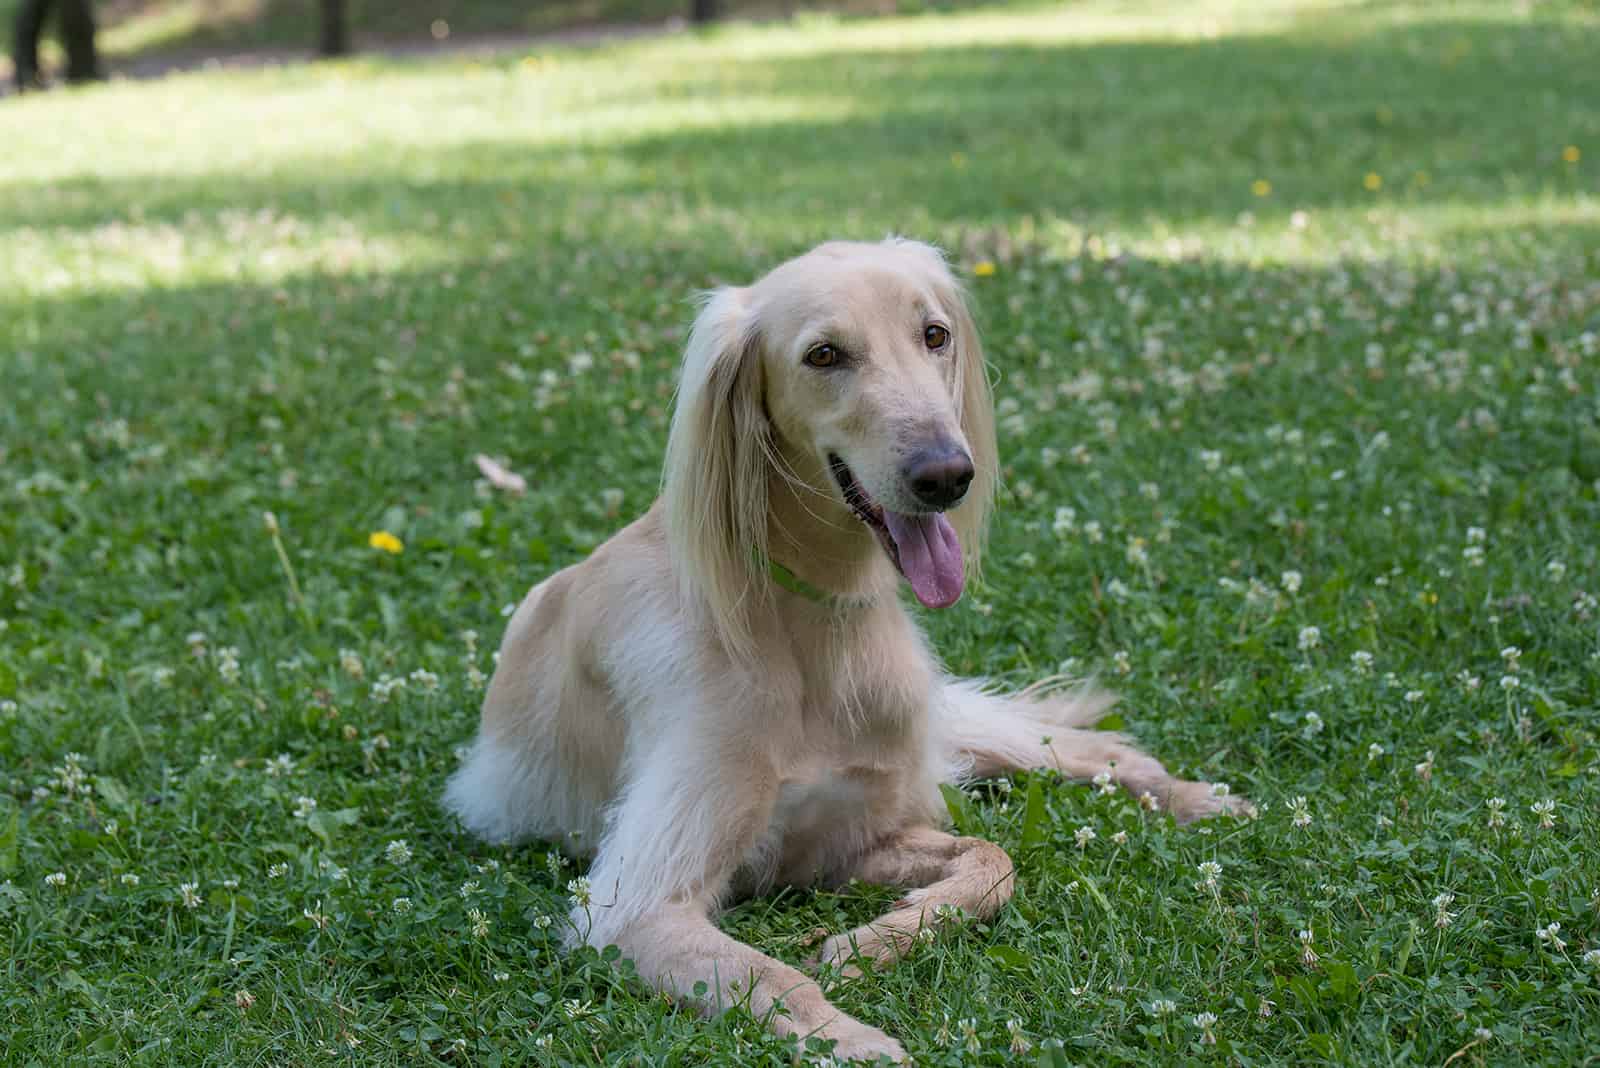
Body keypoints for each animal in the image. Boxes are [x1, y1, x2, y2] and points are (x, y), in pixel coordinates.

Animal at [444, 238, 1241, 1061]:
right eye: (824, 355)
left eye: (934, 334)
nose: (946, 475)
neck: (811, 619)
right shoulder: (635, 902)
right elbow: (779, 977)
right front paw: (856, 1035)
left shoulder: (852, 838)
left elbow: (993, 863)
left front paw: (870, 942)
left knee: (1082, 750)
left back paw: (1192, 795)